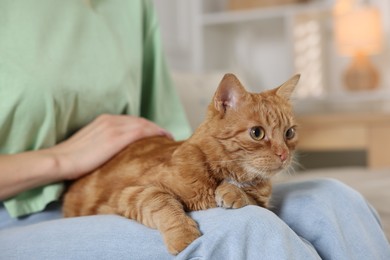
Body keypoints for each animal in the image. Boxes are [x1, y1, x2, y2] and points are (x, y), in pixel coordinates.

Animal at [63, 72, 302, 254]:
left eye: (289, 133)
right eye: (257, 133)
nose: (283, 154)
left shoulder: (262, 201)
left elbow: (251, 198)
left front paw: (232, 192)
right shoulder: (131, 193)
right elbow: (165, 204)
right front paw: (184, 237)